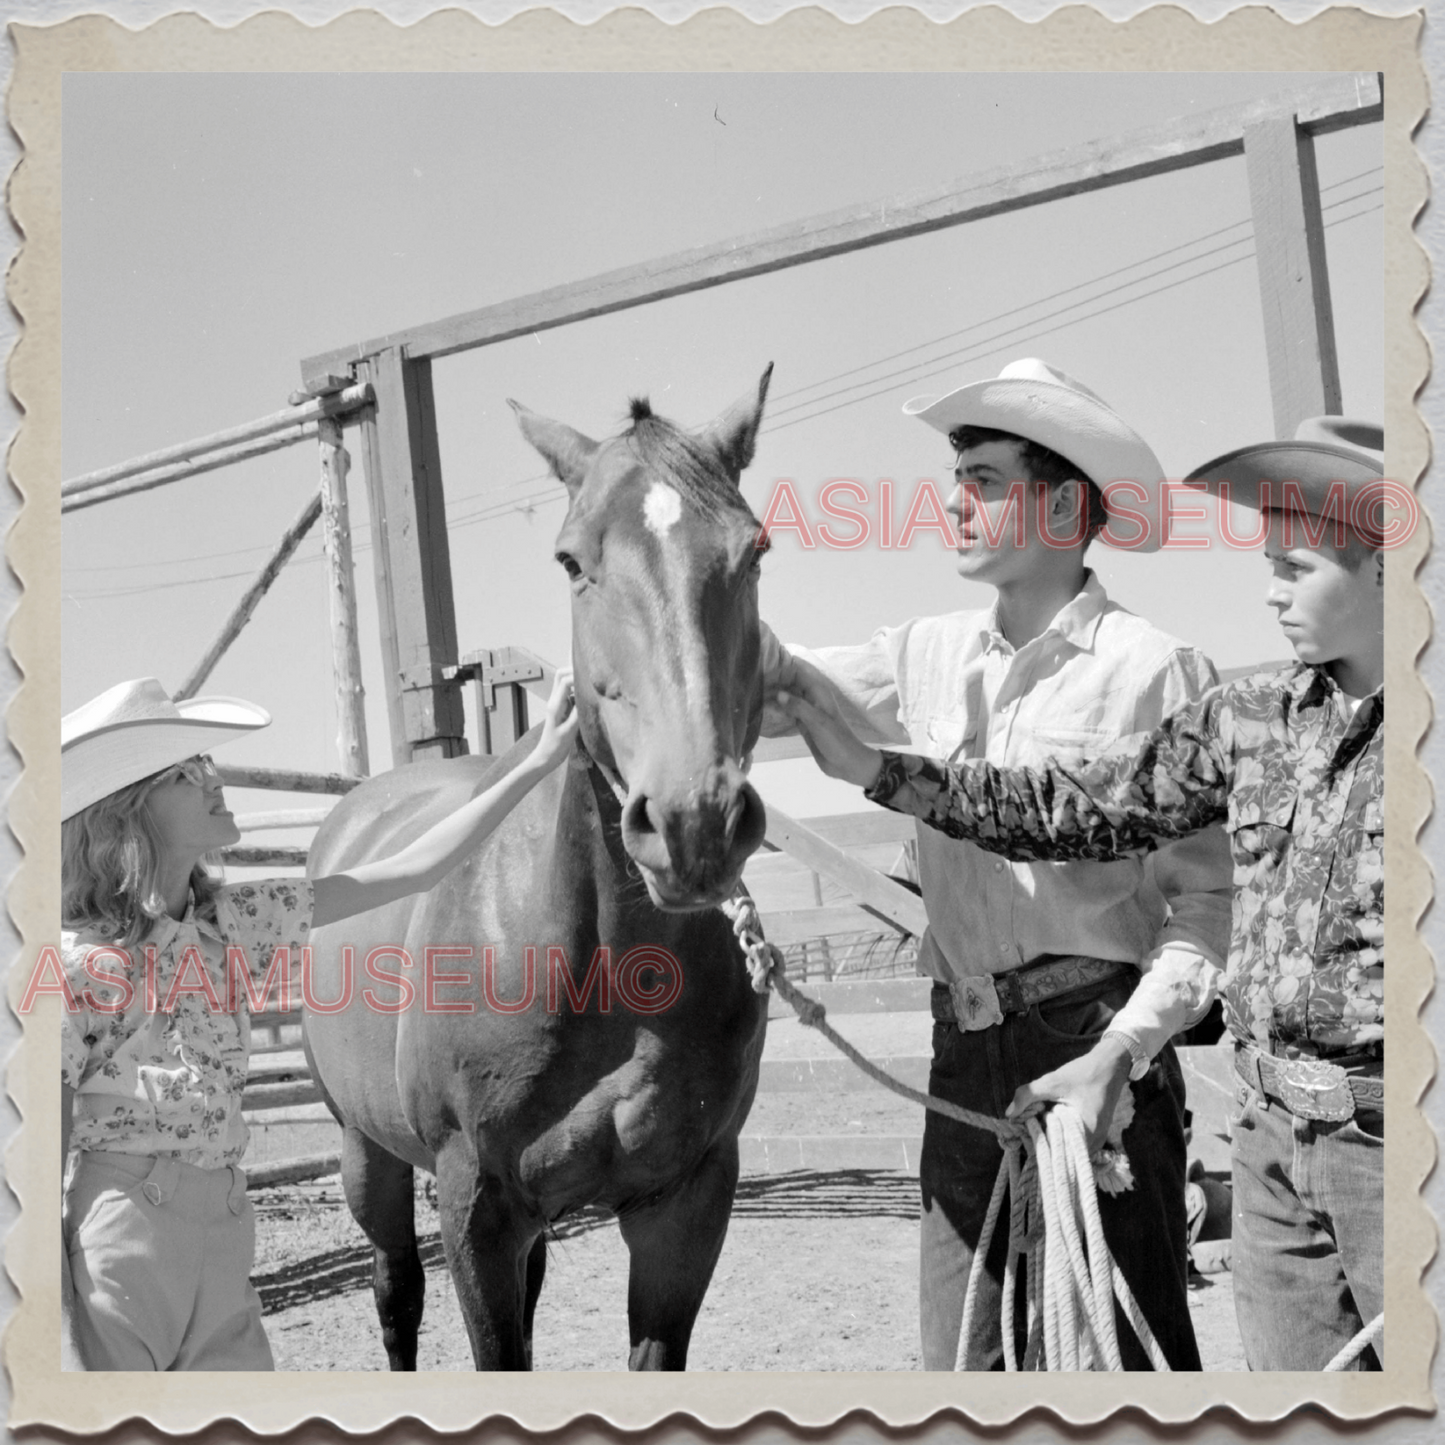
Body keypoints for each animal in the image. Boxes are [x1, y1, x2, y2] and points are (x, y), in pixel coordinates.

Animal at [306, 367, 780, 1369]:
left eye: (753, 549)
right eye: (571, 561)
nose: (691, 821)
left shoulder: (685, 1202)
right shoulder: (475, 1206)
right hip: (365, 1152)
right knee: (394, 1293)